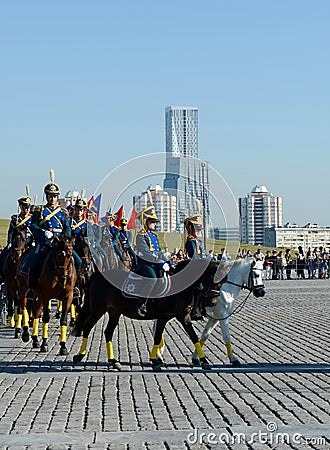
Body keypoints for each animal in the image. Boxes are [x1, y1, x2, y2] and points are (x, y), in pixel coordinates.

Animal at [73, 258, 222, 370]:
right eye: (214, 279)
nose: (214, 302)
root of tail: (98, 275)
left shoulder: (183, 317)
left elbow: (194, 337)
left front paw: (204, 361)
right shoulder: (163, 317)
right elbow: (157, 337)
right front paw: (155, 361)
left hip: (114, 312)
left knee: (108, 332)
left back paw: (114, 361)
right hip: (98, 310)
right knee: (87, 327)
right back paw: (79, 356)